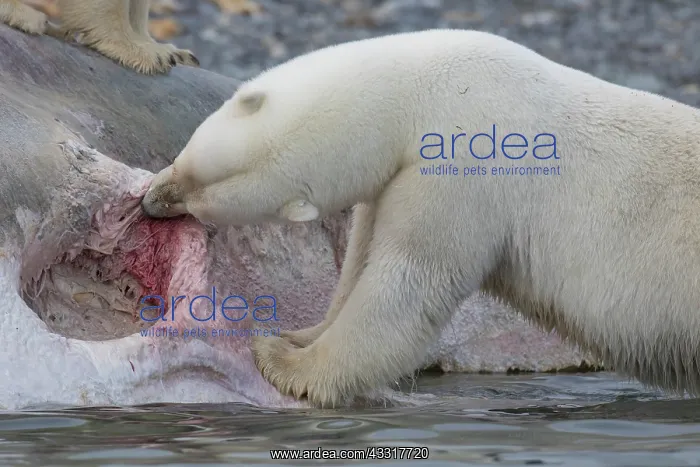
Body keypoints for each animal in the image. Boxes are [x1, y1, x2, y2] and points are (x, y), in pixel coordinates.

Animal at [140, 28, 700, 408]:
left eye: (203, 191)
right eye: (187, 160)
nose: (151, 200)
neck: (429, 89)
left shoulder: (464, 166)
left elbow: (410, 278)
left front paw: (285, 361)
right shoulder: (398, 176)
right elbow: (360, 258)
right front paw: (300, 333)